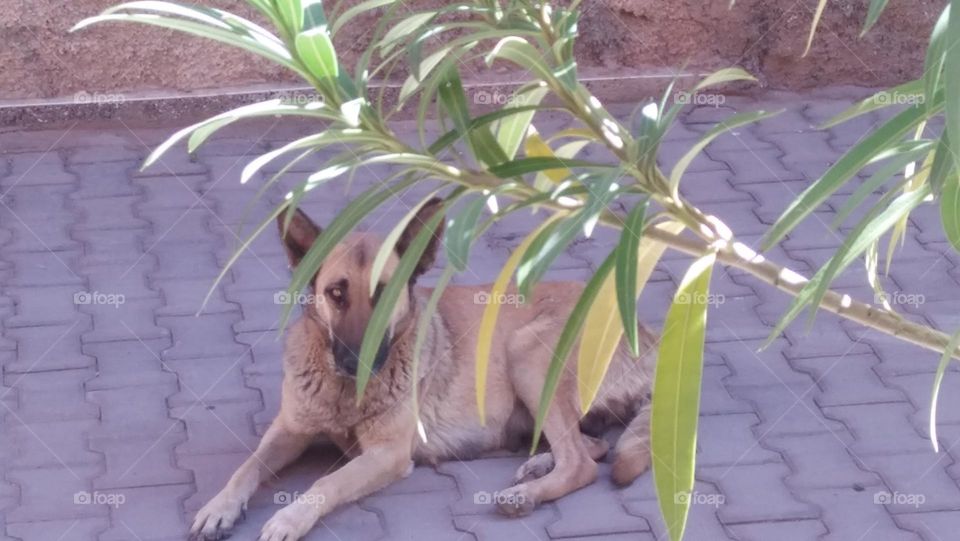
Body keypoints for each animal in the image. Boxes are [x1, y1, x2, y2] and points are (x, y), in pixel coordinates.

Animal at [193, 199, 660, 540]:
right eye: (336, 293)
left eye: (385, 295)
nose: (356, 363)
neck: (345, 396)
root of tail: (646, 332)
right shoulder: (289, 431)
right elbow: (246, 467)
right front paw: (218, 506)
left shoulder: (387, 454)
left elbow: (326, 484)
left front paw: (289, 519)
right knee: (591, 447)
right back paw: (535, 467)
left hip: (526, 353)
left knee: (581, 462)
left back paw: (526, 494)